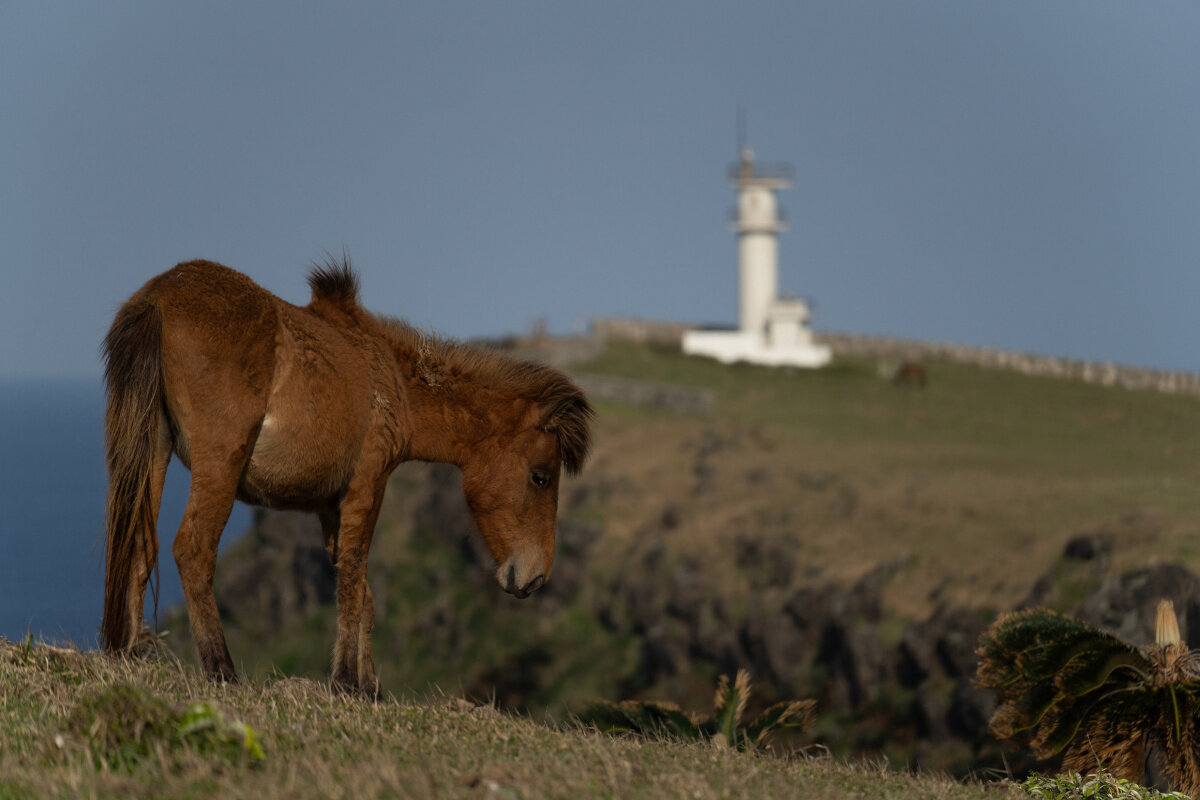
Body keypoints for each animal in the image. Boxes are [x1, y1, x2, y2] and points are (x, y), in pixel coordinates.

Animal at [100, 257, 592, 695]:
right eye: (541, 477)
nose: (535, 577)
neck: (392, 379)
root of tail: (158, 298)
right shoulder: (367, 484)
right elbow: (354, 574)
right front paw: (347, 681)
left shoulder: (329, 506)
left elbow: (360, 589)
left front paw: (369, 684)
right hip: (218, 465)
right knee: (193, 550)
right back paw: (222, 670)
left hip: (154, 449)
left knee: (140, 540)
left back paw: (131, 652)